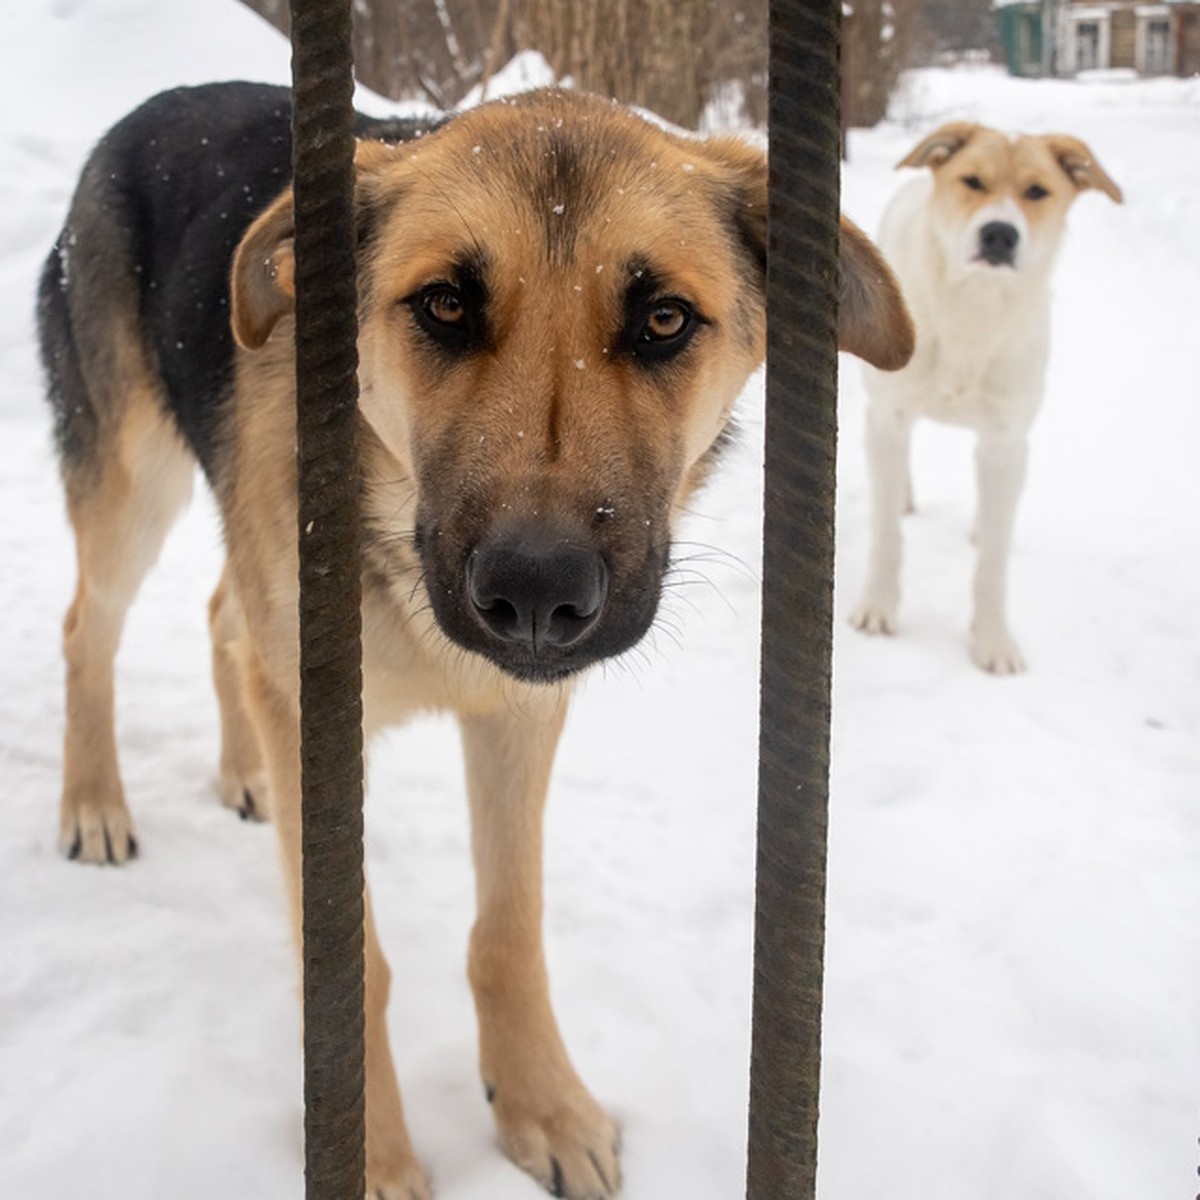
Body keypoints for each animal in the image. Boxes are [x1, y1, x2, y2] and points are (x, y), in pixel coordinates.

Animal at [39, 84, 907, 1200]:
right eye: (445, 306)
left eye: (664, 319)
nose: (536, 592)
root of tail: (155, 107)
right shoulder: (321, 709)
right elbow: (353, 964)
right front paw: (373, 1157)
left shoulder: (519, 717)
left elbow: (510, 931)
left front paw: (541, 1104)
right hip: (132, 489)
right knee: (87, 631)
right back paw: (94, 804)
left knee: (224, 619)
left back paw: (243, 771)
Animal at [849, 124, 1118, 676]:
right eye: (972, 181)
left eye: (1037, 191)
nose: (999, 234)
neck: (972, 311)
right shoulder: (887, 415)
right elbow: (886, 535)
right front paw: (879, 606)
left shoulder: (1005, 441)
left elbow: (993, 560)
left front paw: (993, 640)